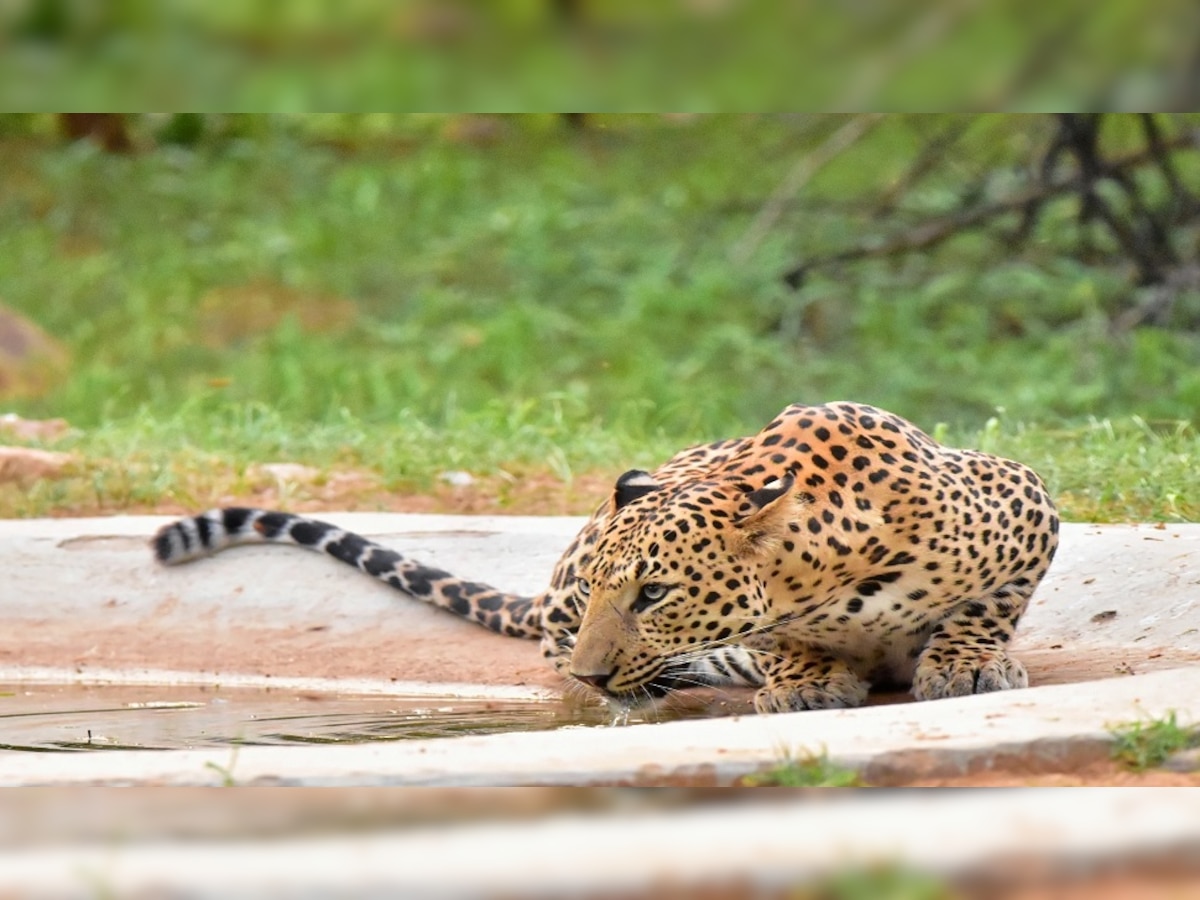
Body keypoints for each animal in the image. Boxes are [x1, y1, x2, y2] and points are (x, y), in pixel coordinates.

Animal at [152, 405, 1060, 715]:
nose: (593, 675)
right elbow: (778, 640)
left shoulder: (1024, 495)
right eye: (604, 593)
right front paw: (804, 680)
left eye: (654, 593)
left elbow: (989, 603)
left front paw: (968, 664)